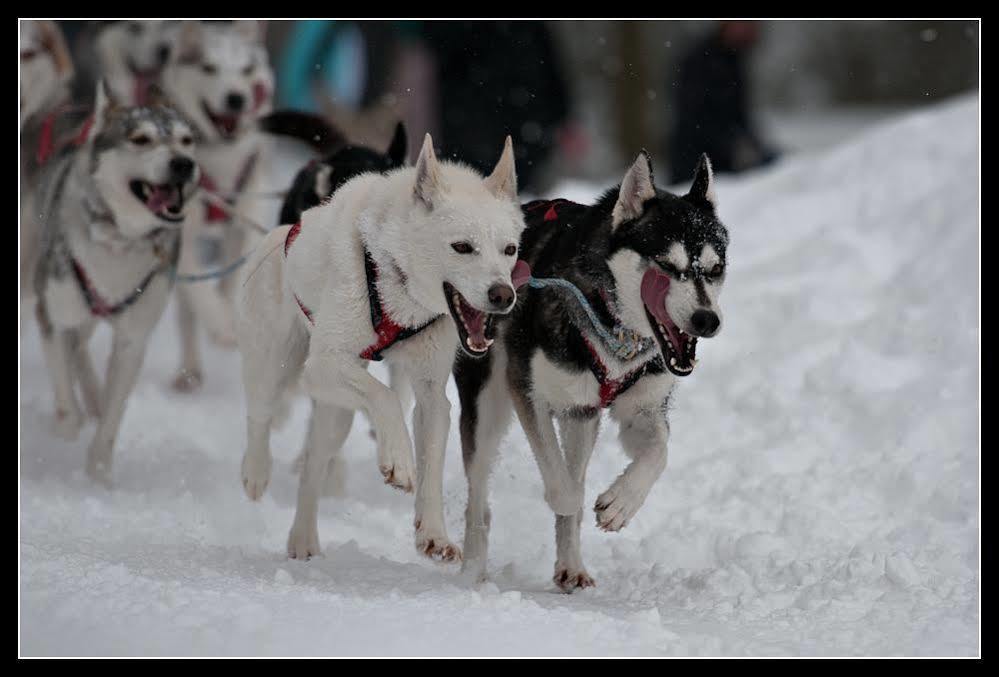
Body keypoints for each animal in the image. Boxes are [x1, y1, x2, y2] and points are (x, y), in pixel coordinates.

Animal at [33, 83, 201, 486]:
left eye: (187, 141)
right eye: (140, 139)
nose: (183, 164)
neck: (119, 241)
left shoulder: (132, 341)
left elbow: (112, 418)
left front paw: (98, 474)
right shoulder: (52, 315)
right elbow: (65, 400)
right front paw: (67, 426)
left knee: (81, 347)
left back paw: (94, 396)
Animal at [161, 19, 278, 390]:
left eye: (247, 69)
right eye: (209, 68)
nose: (236, 98)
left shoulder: (248, 210)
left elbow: (241, 268)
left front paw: (233, 308)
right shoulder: (177, 235)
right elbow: (200, 294)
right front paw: (222, 325)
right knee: (187, 310)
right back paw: (189, 369)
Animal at [239, 132, 528, 560]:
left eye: (509, 249)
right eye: (462, 247)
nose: (503, 295)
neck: (398, 286)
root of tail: (286, 231)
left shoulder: (431, 394)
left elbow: (432, 460)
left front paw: (434, 532)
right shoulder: (324, 364)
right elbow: (386, 398)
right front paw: (399, 462)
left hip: (336, 413)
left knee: (314, 465)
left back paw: (303, 539)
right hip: (276, 366)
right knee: (260, 416)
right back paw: (256, 472)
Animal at [458, 151, 732, 588]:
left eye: (715, 267)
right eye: (666, 265)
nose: (707, 320)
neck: (614, 326)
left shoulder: (638, 411)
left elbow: (659, 453)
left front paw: (622, 502)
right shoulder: (528, 394)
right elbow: (565, 490)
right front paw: (573, 501)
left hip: (581, 419)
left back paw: (571, 564)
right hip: (489, 405)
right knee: (479, 493)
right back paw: (472, 569)